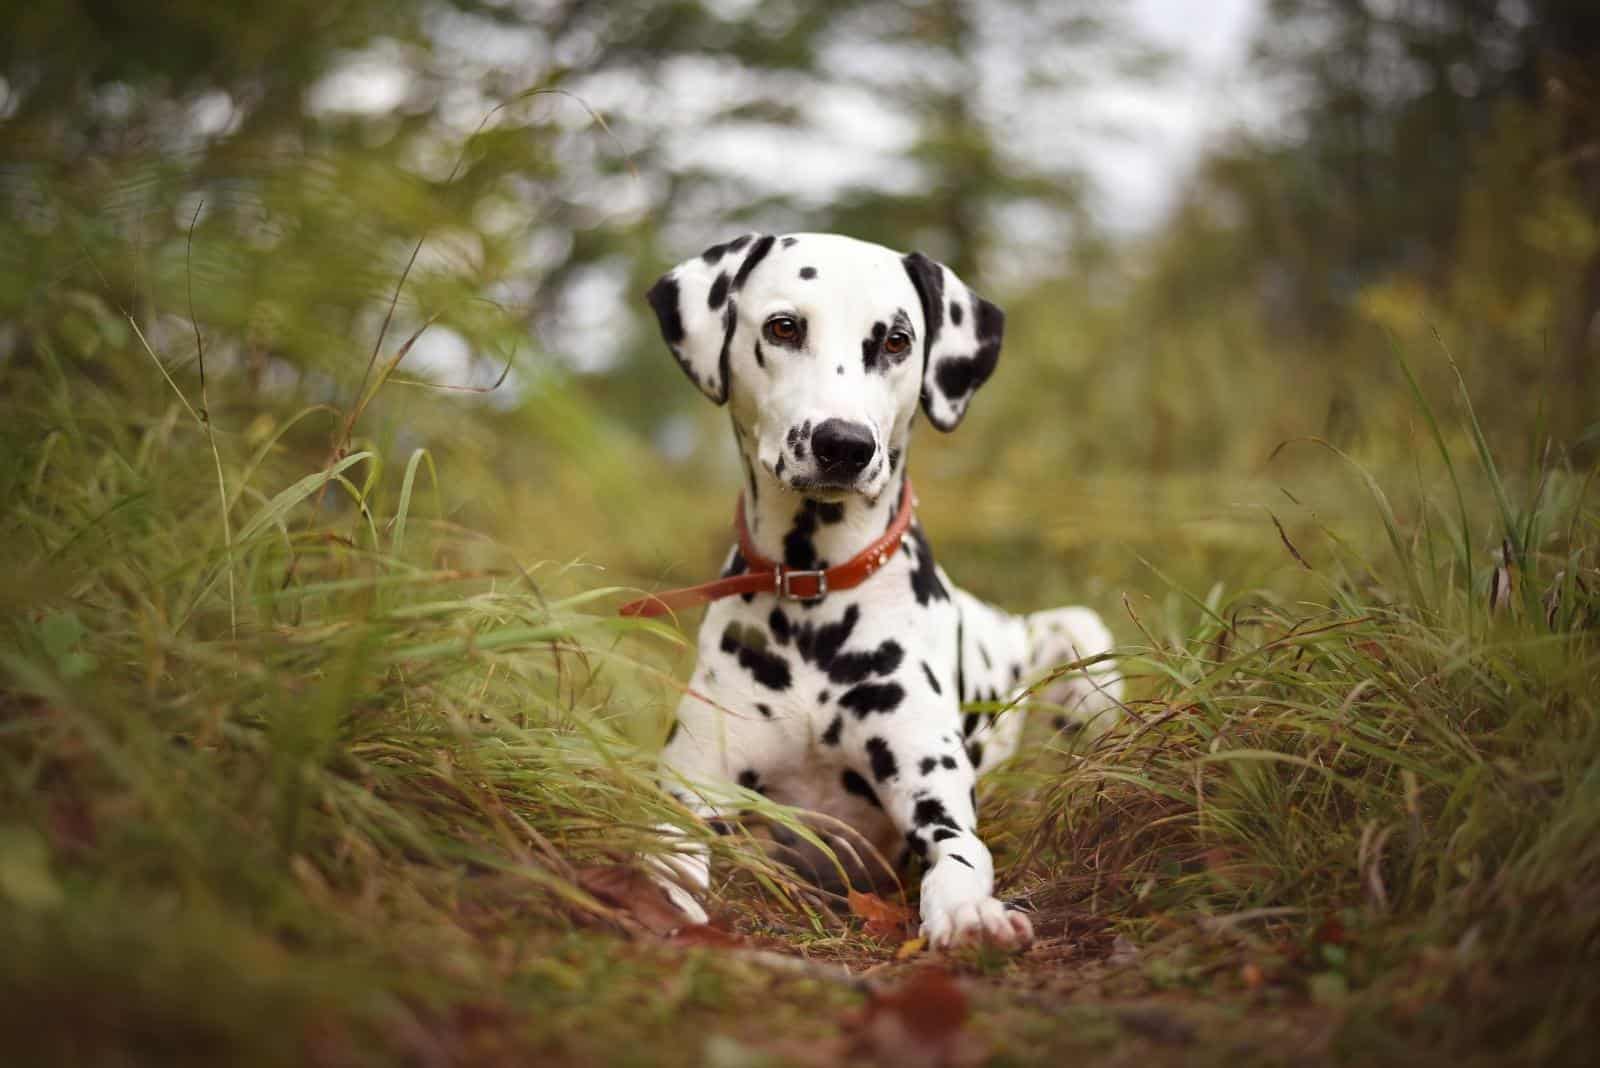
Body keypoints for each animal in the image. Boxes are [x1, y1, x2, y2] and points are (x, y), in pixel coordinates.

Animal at [636, 230, 1126, 946]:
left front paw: (971, 916)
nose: (844, 444)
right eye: (783, 327)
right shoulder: (691, 793)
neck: (814, 588)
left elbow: (960, 859)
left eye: (896, 340)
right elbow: (663, 853)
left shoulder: (935, 805)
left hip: (1079, 637)